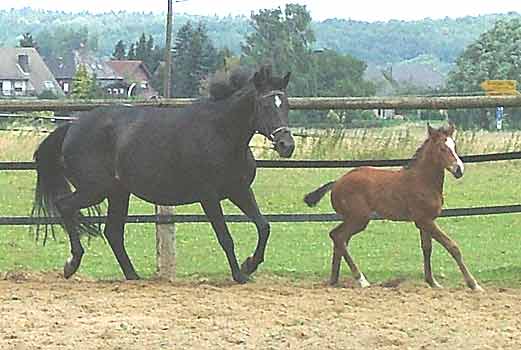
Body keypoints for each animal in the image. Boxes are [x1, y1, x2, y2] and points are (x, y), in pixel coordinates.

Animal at [32, 66, 292, 284]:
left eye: (286, 105)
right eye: (266, 106)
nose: (287, 145)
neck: (220, 133)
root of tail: (71, 127)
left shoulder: (239, 191)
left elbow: (264, 226)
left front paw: (249, 265)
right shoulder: (208, 197)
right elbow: (225, 237)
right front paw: (239, 274)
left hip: (118, 192)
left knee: (113, 233)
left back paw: (133, 276)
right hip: (94, 190)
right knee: (65, 206)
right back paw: (72, 264)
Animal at [302, 123, 482, 290]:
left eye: (454, 146)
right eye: (442, 148)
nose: (459, 170)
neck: (423, 181)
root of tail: (337, 183)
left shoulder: (425, 221)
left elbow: (427, 248)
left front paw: (433, 282)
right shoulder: (425, 220)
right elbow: (452, 246)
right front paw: (473, 284)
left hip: (352, 219)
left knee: (338, 238)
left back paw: (334, 280)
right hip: (359, 219)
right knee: (338, 237)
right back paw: (361, 280)